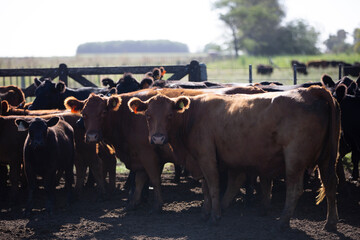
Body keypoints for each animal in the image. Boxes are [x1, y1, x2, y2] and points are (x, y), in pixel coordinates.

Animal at [129, 86, 340, 231]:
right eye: (148, 115)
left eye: (170, 115)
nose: (157, 138)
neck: (193, 115)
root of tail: (311, 91)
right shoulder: (200, 159)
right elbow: (205, 188)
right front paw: (205, 213)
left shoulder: (206, 156)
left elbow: (214, 186)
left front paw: (215, 216)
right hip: (327, 159)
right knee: (330, 185)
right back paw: (330, 223)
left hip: (294, 160)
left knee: (295, 190)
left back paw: (281, 223)